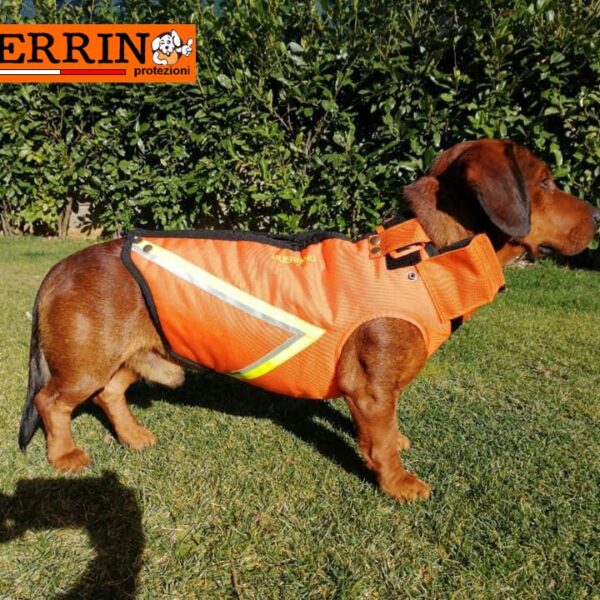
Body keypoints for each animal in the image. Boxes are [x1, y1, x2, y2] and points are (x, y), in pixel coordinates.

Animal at [19, 139, 599, 502]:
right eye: (546, 182)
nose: (597, 214)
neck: (425, 258)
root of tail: (59, 267)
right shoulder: (370, 390)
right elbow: (379, 440)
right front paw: (398, 482)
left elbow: (389, 428)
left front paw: (399, 448)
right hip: (85, 363)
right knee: (54, 403)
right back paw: (65, 455)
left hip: (129, 355)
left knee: (110, 395)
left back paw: (134, 436)